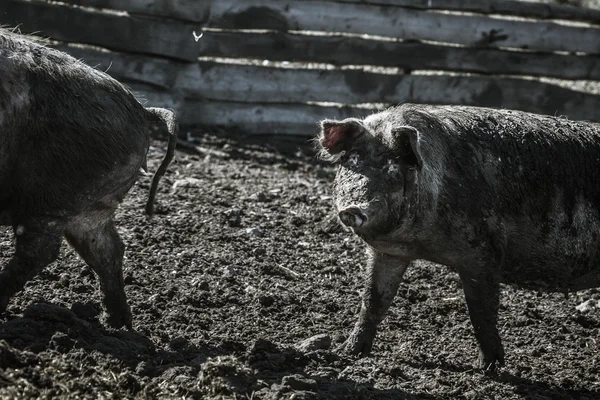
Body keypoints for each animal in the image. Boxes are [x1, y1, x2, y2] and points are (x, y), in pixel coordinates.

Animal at [0, 28, 177, 328]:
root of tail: (141, 110)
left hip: (55, 189)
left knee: (39, 251)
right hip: (92, 200)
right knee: (106, 248)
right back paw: (118, 326)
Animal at [316, 103, 600, 368]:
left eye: (392, 169)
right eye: (353, 160)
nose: (352, 209)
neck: (419, 242)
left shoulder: (483, 252)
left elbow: (481, 310)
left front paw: (488, 368)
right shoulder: (389, 253)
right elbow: (374, 300)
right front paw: (348, 353)